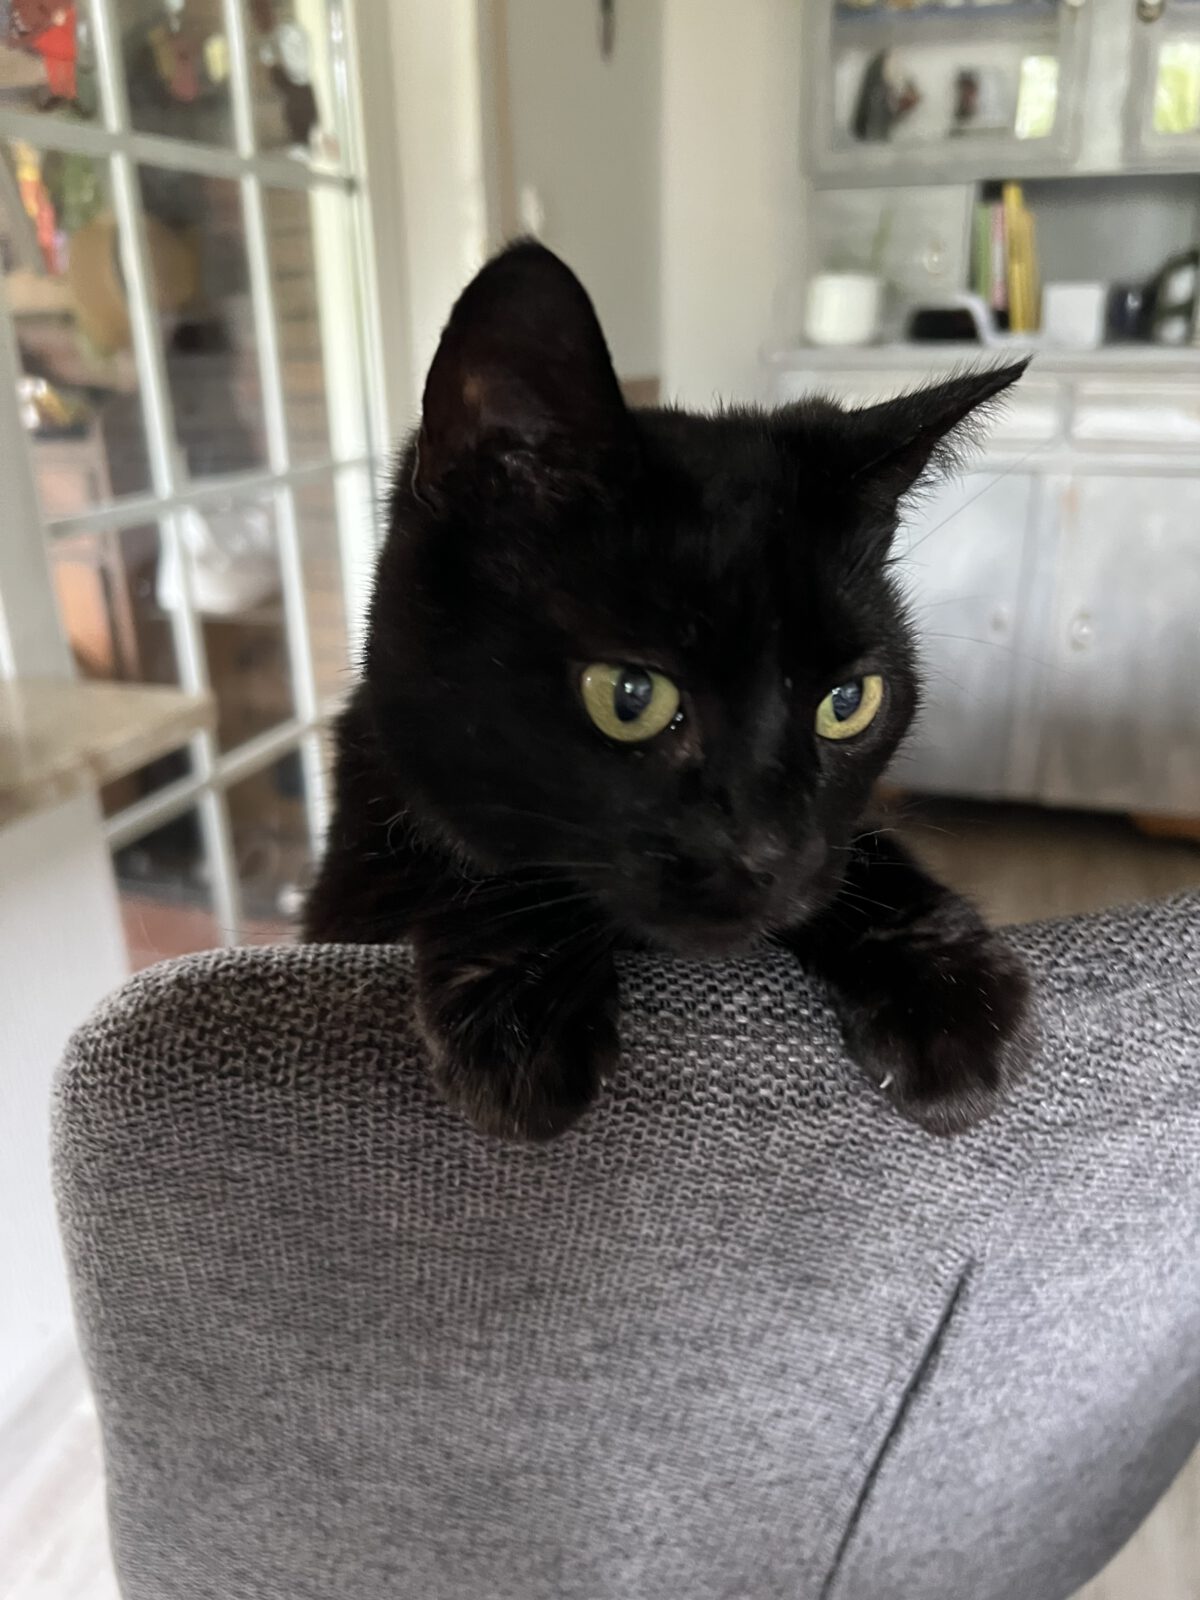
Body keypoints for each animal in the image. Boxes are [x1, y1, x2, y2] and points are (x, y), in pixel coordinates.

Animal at [304, 239, 1035, 1142]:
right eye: (629, 696)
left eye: (848, 702)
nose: (773, 853)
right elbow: (480, 865)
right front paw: (524, 1017)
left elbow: (862, 854)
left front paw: (948, 987)